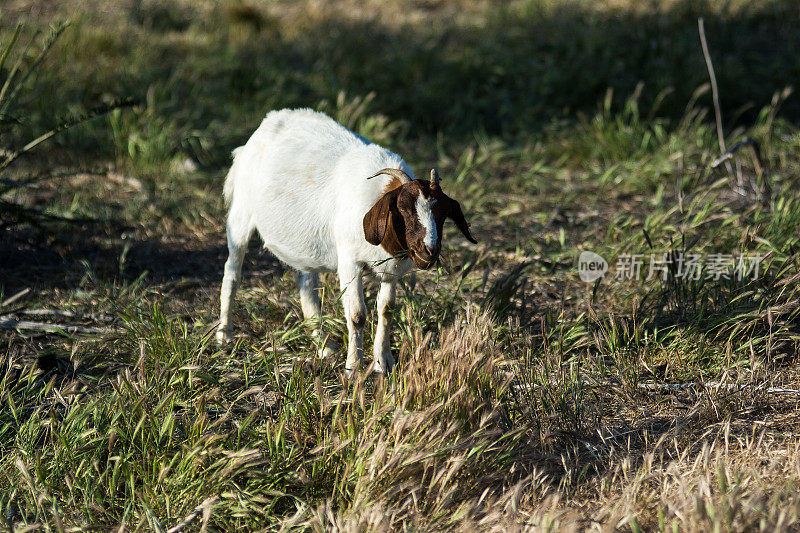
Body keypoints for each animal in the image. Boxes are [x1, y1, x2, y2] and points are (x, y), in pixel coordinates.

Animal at [217, 108, 476, 374]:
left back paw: (324, 345)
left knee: (306, 286)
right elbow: (357, 315)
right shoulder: (350, 263)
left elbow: (386, 310)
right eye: (403, 209)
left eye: (443, 213)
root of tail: (270, 120)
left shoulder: (391, 271)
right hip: (240, 216)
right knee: (232, 273)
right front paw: (354, 367)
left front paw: (383, 362)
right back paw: (224, 334)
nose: (429, 250)